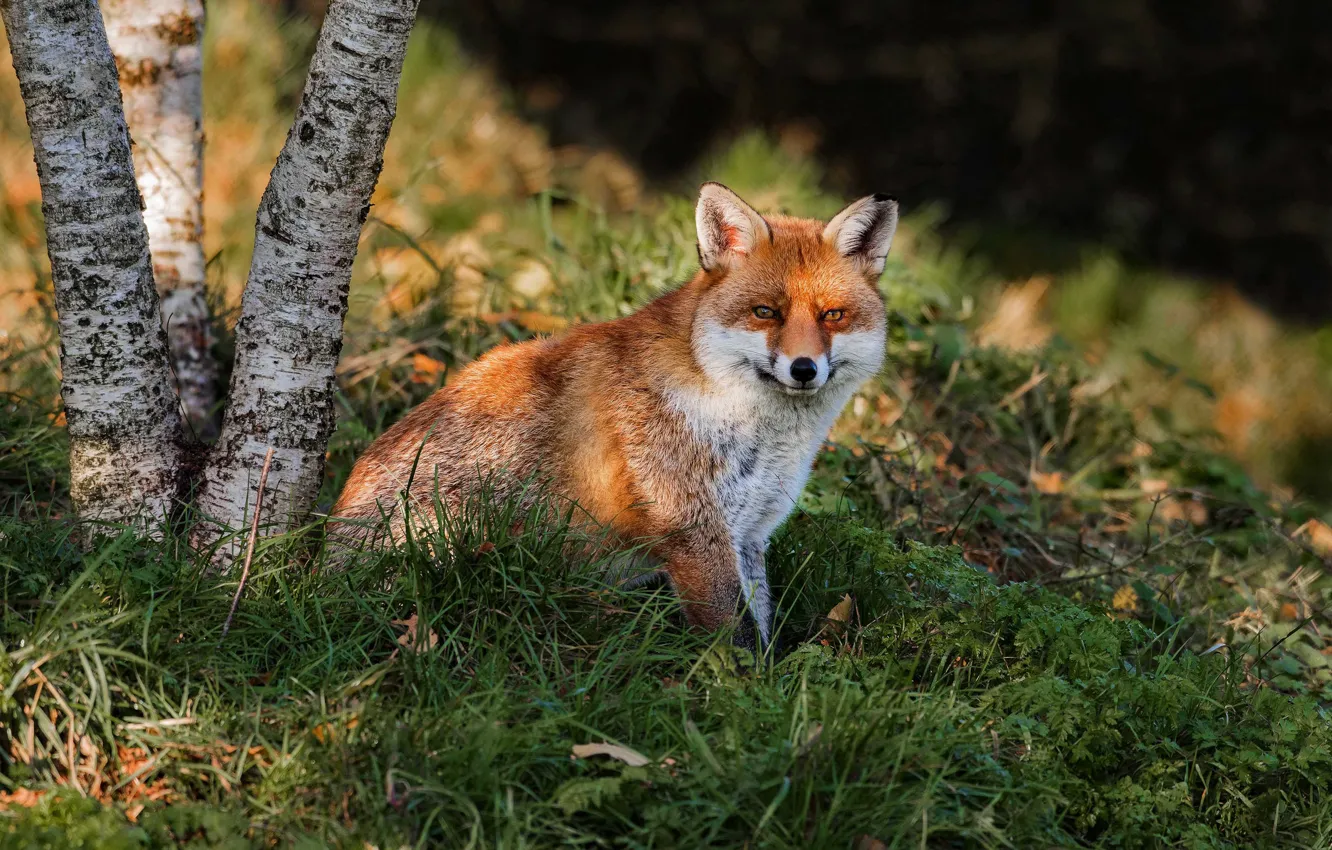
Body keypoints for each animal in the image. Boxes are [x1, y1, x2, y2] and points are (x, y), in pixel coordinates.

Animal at [327, 183, 900, 650]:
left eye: (832, 315)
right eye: (766, 313)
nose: (804, 369)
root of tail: (322, 554)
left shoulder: (749, 533)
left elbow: (761, 629)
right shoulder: (693, 532)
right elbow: (734, 643)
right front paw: (741, 696)